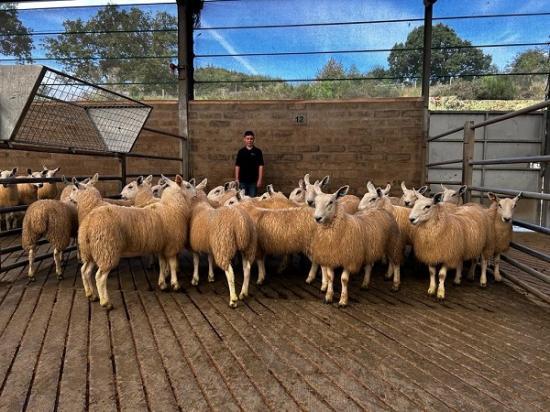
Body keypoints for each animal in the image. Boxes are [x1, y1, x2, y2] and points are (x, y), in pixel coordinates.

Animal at [76, 175, 192, 308]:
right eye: (188, 186)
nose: (196, 195)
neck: (173, 206)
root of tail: (89, 220)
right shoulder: (172, 245)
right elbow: (172, 264)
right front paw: (175, 284)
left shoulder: (162, 246)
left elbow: (162, 264)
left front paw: (162, 283)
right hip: (107, 250)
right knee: (99, 277)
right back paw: (105, 302)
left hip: (91, 251)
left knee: (85, 271)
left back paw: (91, 295)